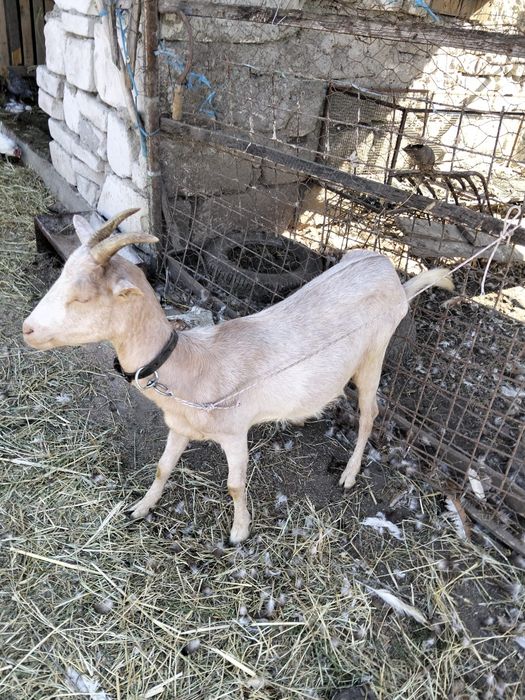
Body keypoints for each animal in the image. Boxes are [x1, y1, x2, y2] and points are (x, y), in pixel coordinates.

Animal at [23, 209, 453, 543]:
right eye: (61, 278)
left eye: (81, 297)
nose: (27, 329)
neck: (191, 366)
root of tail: (390, 272)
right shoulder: (179, 425)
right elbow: (163, 466)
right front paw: (141, 508)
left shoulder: (234, 431)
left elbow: (234, 485)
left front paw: (239, 532)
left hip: (375, 353)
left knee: (370, 412)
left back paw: (349, 473)